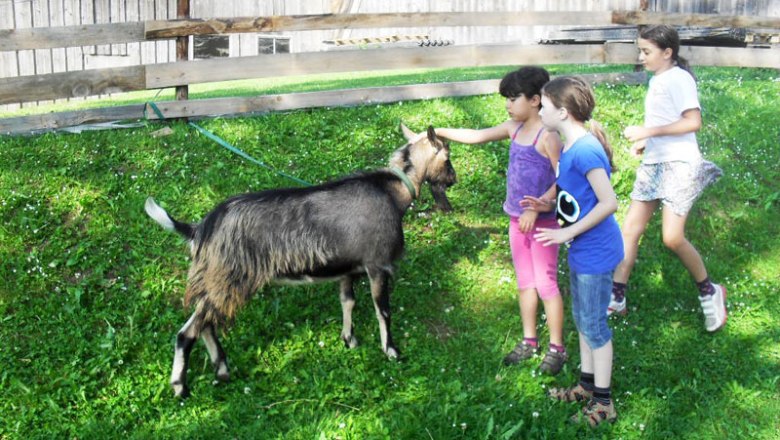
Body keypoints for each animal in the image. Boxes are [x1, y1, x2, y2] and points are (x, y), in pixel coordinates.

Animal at [144, 125, 457, 398]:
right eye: (447, 156)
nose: (453, 180)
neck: (392, 193)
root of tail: (201, 228)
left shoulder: (347, 268)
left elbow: (348, 302)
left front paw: (349, 340)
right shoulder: (377, 265)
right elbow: (384, 311)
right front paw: (391, 351)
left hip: (217, 280)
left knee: (206, 322)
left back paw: (221, 370)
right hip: (230, 278)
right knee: (188, 332)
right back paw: (181, 387)